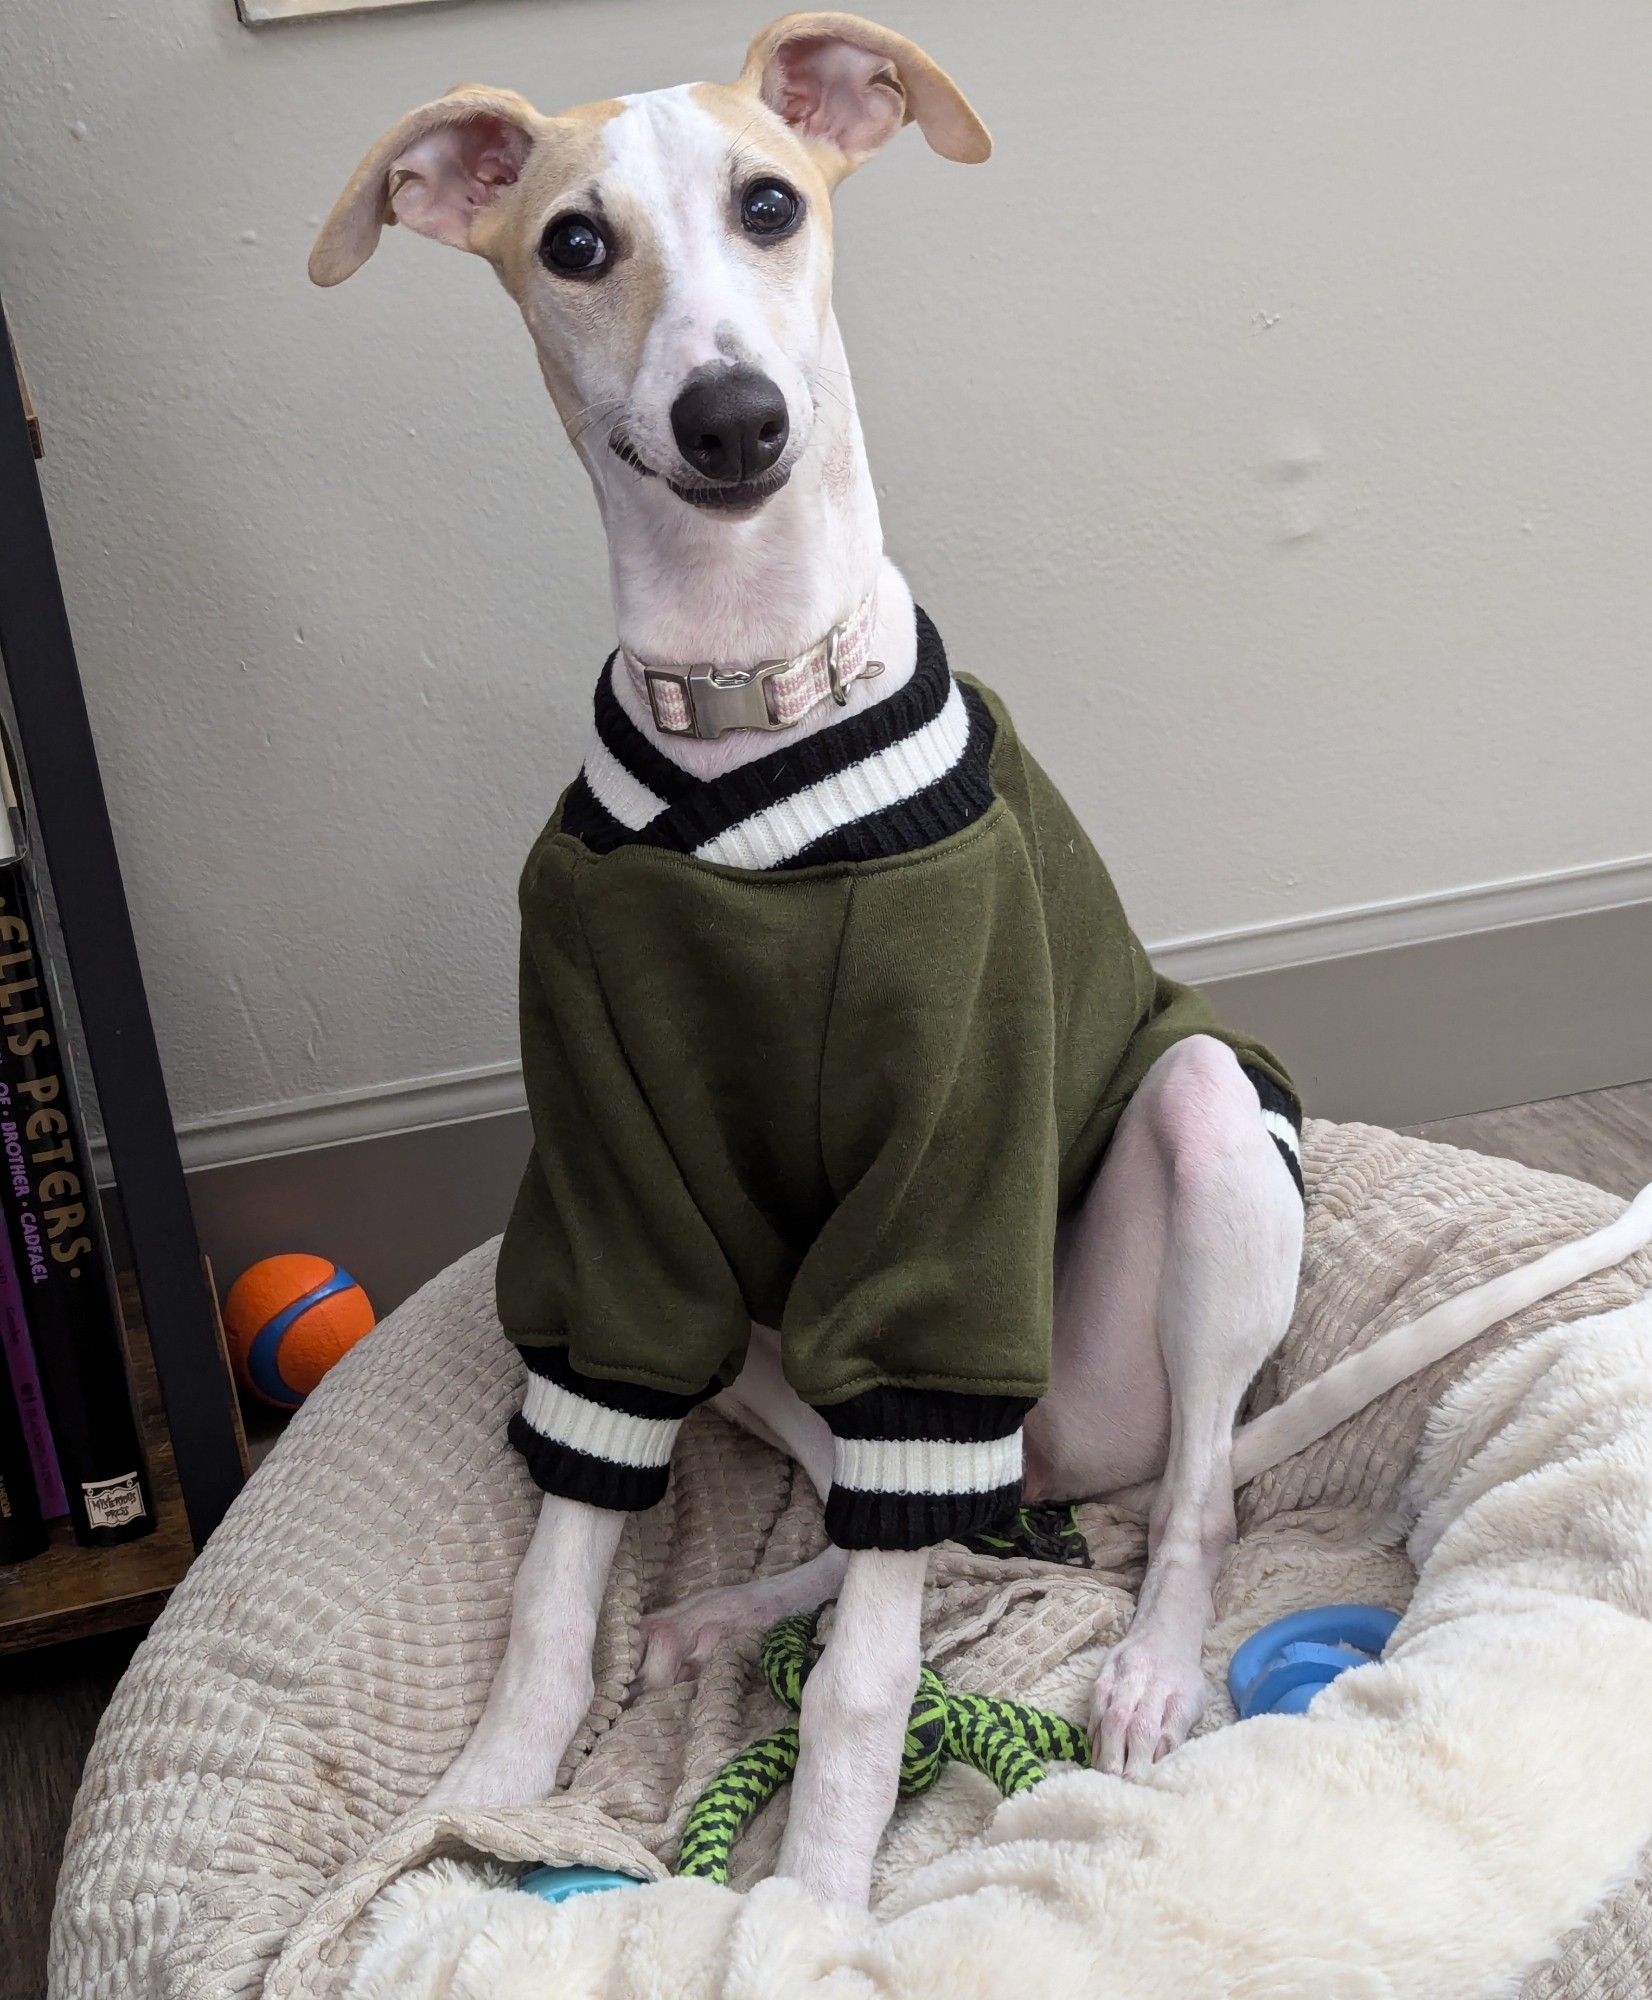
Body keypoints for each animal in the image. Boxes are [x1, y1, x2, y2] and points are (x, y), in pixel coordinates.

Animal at [316, 19, 1648, 1920]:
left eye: (772, 202)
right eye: (574, 243)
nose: (734, 419)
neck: (746, 703)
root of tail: (1072, 1453)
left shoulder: (938, 1205)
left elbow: (873, 1676)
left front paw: (812, 1901)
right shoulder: (611, 1216)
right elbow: (561, 1579)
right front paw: (472, 1809)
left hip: (1199, 1142)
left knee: (1177, 1503)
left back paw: (1150, 1661)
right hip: (753, 1315)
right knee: (923, 1512)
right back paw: (743, 1602)